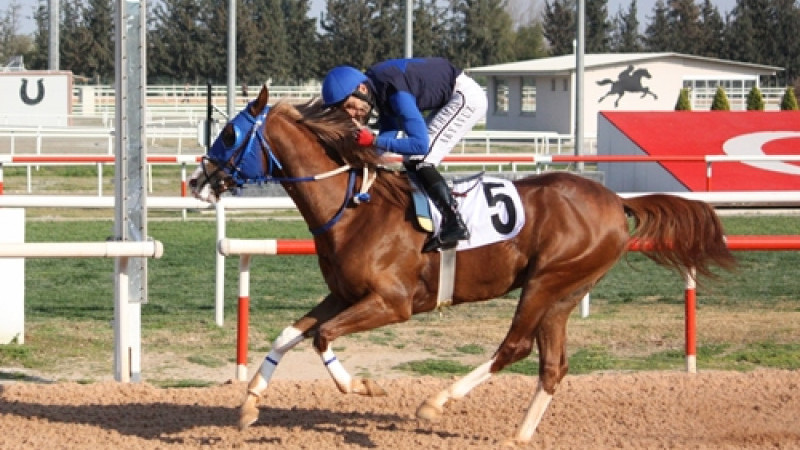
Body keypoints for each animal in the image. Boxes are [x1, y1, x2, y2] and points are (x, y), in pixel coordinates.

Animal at [189, 85, 736, 446]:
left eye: (230, 133)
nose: (198, 181)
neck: (353, 207)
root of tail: (617, 201)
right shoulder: (344, 294)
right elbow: (289, 332)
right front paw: (250, 403)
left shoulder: (392, 303)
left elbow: (322, 337)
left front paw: (360, 385)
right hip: (564, 292)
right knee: (552, 366)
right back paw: (520, 434)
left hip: (546, 281)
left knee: (514, 348)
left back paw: (437, 402)